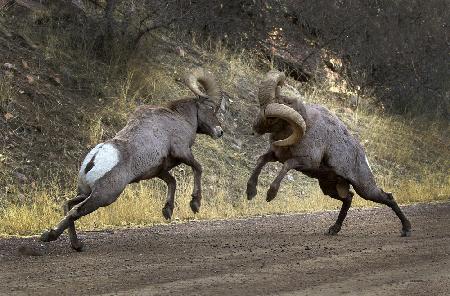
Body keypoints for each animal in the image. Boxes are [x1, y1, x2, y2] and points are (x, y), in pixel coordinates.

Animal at [41, 67, 224, 250]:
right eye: (211, 108)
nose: (220, 131)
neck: (180, 118)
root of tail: (94, 159)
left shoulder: (159, 171)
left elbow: (172, 182)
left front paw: (167, 211)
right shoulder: (182, 151)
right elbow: (198, 168)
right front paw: (195, 204)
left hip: (86, 192)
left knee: (68, 205)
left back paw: (76, 245)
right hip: (105, 196)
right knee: (75, 211)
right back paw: (49, 236)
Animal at [246, 70, 412, 237]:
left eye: (272, 119)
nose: (253, 130)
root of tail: (363, 157)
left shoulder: (304, 162)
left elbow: (287, 165)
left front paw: (270, 195)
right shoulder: (275, 156)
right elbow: (261, 160)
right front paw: (250, 192)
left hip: (365, 189)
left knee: (387, 197)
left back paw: (406, 229)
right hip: (329, 188)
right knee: (349, 198)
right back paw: (334, 229)